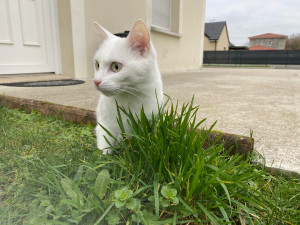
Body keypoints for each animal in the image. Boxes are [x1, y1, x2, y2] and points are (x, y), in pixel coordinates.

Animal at [94, 19, 164, 155]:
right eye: (97, 65)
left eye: (116, 66)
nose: (96, 81)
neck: (129, 99)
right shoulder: (104, 125)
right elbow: (105, 142)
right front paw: (104, 155)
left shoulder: (152, 121)